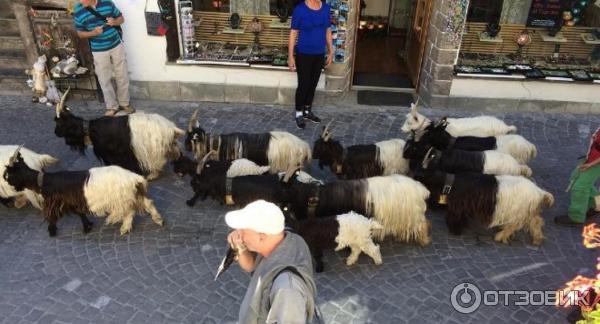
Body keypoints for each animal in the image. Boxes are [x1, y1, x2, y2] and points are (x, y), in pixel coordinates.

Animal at [2, 146, 164, 235]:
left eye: (10, 173)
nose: (5, 180)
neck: (45, 181)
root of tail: (135, 178)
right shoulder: (73, 203)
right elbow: (80, 214)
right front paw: (87, 227)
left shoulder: (56, 204)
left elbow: (52, 217)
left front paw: (52, 232)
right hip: (133, 195)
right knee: (146, 205)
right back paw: (157, 220)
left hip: (122, 197)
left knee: (128, 211)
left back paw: (117, 223)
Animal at [54, 88, 185, 180]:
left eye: (59, 123)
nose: (55, 133)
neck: (89, 129)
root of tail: (170, 127)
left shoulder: (113, 153)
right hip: (167, 144)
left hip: (154, 148)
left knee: (158, 161)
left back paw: (152, 175)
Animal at [412, 170, 552, 246]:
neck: (451, 184)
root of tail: (539, 192)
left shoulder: (458, 207)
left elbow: (455, 219)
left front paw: (455, 231)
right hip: (528, 212)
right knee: (536, 221)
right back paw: (537, 239)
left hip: (519, 212)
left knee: (514, 225)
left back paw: (500, 236)